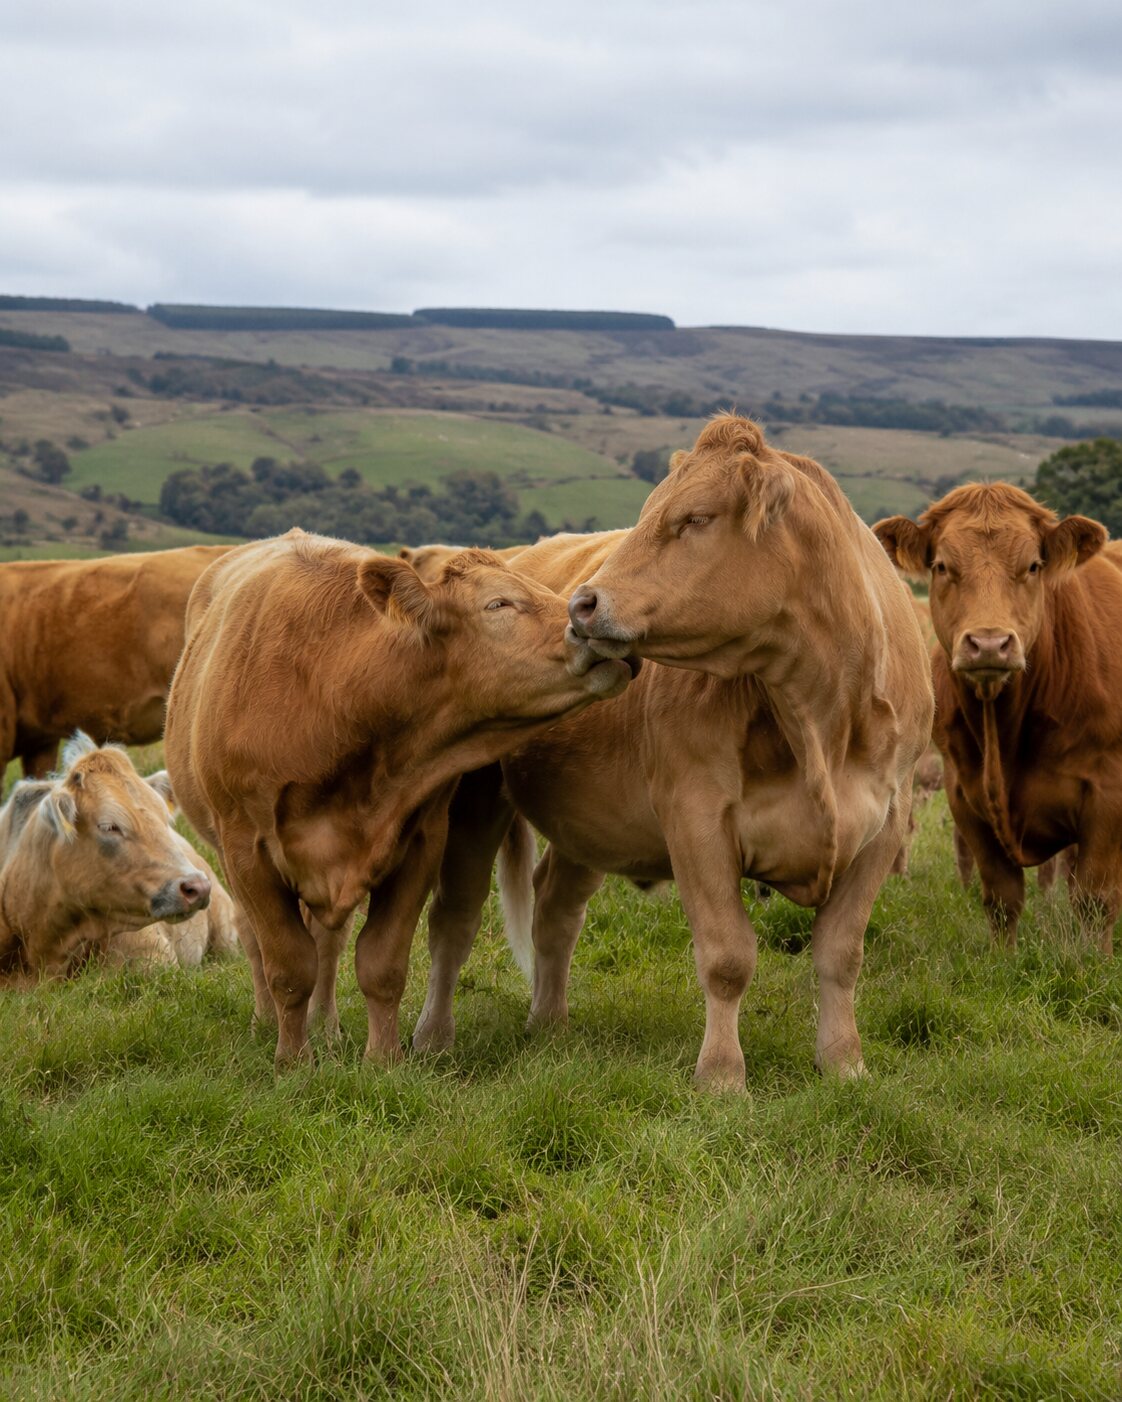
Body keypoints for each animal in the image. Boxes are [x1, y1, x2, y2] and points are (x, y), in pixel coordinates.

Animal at [163, 530, 638, 1069]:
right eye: (498, 603)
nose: (594, 628)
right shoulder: (250, 854)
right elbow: (287, 965)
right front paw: (293, 1061)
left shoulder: (419, 843)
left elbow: (380, 962)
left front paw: (383, 1060)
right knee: (255, 937)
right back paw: (268, 1023)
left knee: (328, 941)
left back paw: (325, 1027)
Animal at [416, 415, 934, 1089]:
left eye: (695, 518)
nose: (581, 604)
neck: (821, 714)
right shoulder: (695, 815)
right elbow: (727, 957)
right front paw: (721, 1076)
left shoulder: (883, 824)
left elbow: (840, 954)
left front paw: (845, 1063)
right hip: (476, 804)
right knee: (454, 921)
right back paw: (432, 1039)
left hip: (594, 818)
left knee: (555, 909)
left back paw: (550, 1025)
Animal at [874, 482, 1122, 953]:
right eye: (941, 566)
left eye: (1033, 565)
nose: (989, 644)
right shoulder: (964, 791)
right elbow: (1002, 896)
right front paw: (1002, 959)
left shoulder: (1107, 794)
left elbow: (1094, 898)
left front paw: (1093, 959)